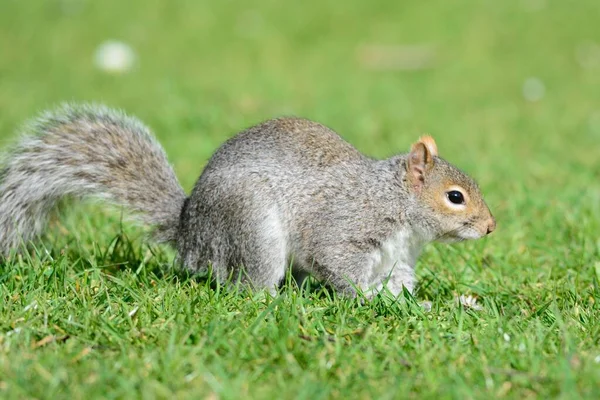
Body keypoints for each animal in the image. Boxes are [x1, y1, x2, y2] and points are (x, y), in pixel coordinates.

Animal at [1, 103, 496, 296]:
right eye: (455, 197)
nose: (491, 227)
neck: (393, 201)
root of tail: (190, 233)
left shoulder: (398, 256)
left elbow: (400, 282)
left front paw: (413, 303)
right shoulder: (346, 224)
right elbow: (336, 261)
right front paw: (366, 298)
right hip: (251, 225)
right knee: (248, 284)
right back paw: (277, 299)